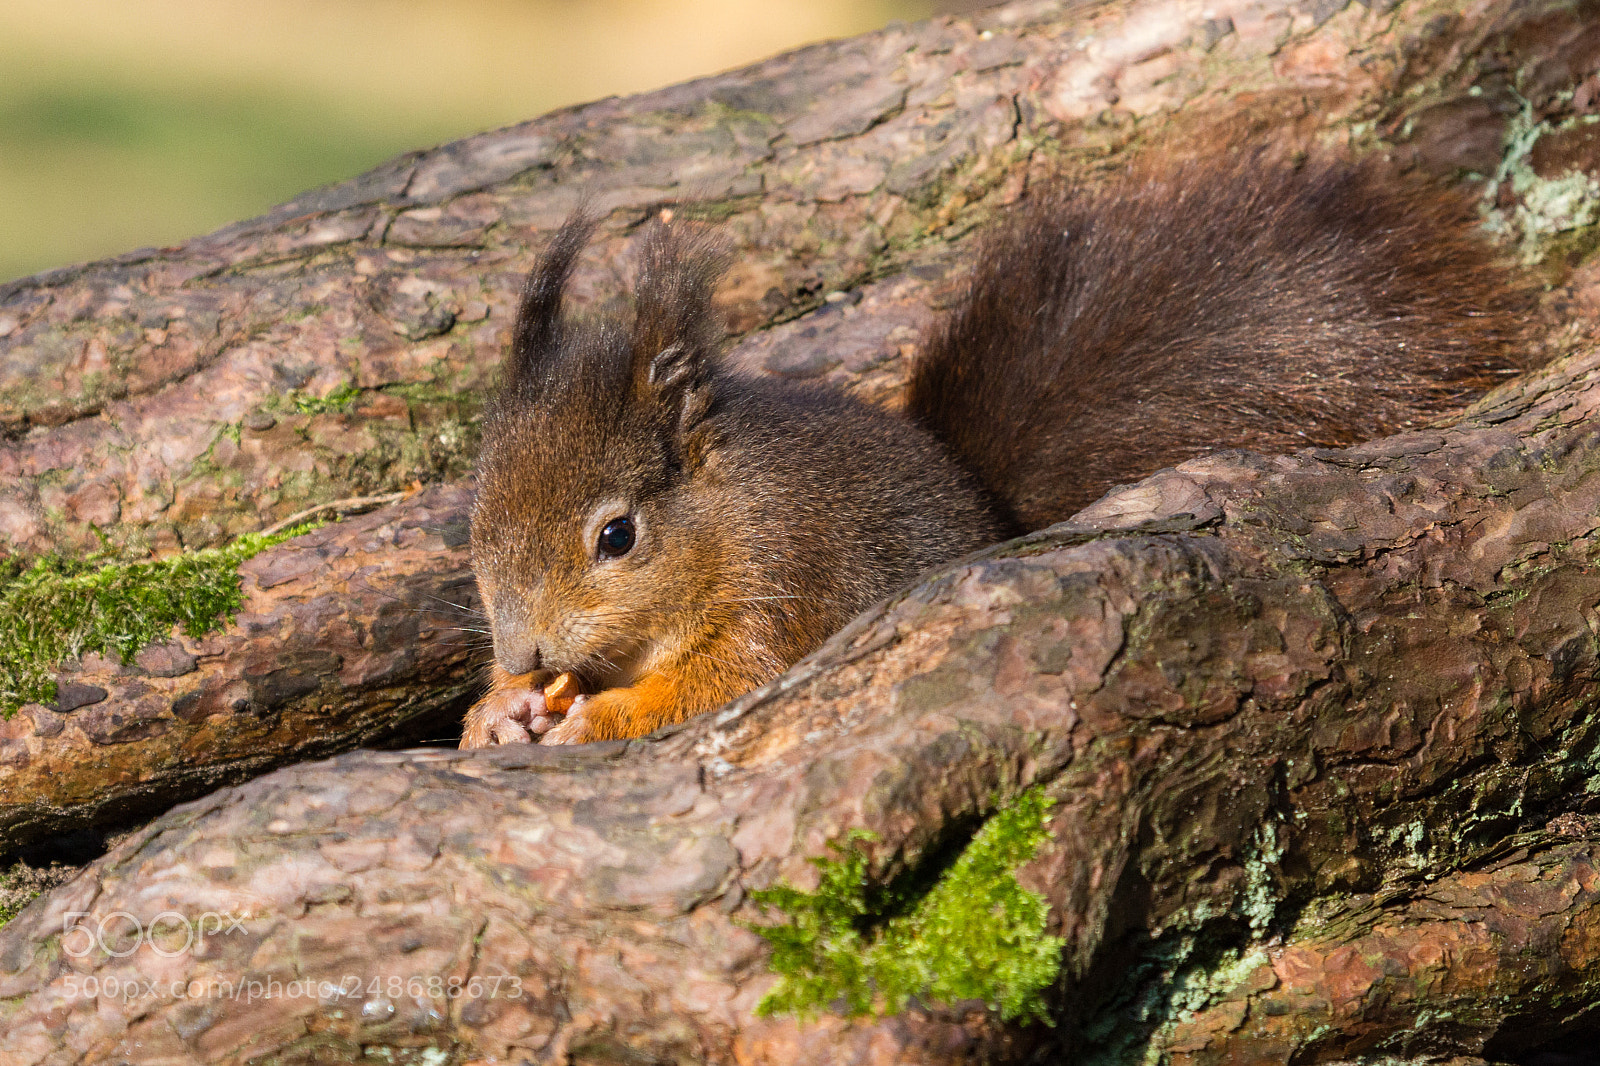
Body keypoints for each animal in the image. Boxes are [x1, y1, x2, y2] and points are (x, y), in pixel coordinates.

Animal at [459, 152, 1533, 748]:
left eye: (618, 537)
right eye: (471, 526)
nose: (523, 652)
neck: (722, 519)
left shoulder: (784, 582)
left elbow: (727, 684)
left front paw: (593, 715)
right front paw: (500, 712)